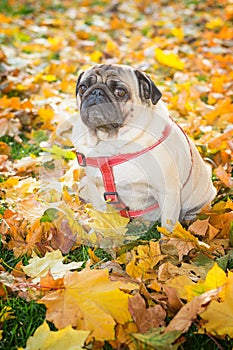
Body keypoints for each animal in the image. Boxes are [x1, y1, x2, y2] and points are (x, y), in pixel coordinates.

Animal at [71, 64, 217, 231]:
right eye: (82, 88)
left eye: (120, 92)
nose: (96, 92)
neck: (112, 144)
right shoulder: (96, 189)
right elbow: (102, 217)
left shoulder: (168, 193)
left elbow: (167, 228)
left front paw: (168, 238)